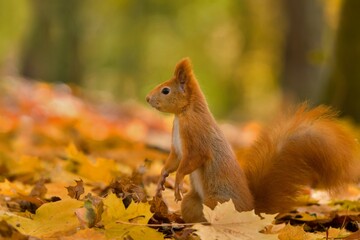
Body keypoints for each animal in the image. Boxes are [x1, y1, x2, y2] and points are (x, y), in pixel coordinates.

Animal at [145, 57, 358, 222]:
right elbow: (174, 160)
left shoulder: (197, 136)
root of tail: (251, 211)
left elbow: (192, 160)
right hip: (193, 202)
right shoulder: (177, 148)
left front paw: (178, 180)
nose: (147, 98)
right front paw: (162, 177)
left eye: (166, 90)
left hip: (217, 202)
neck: (183, 114)